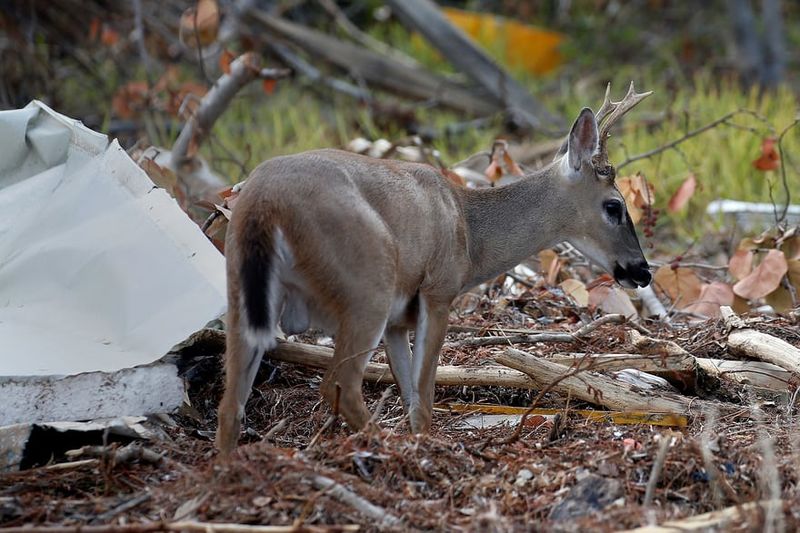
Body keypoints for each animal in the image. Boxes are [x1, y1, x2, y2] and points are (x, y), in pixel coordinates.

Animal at [216, 81, 652, 450]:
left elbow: (409, 394)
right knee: (339, 383)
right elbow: (423, 397)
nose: (643, 271)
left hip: (242, 291)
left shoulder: (397, 321)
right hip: (367, 284)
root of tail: (264, 203)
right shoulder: (437, 290)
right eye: (614, 206)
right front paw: (426, 447)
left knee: (230, 403)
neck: (470, 231)